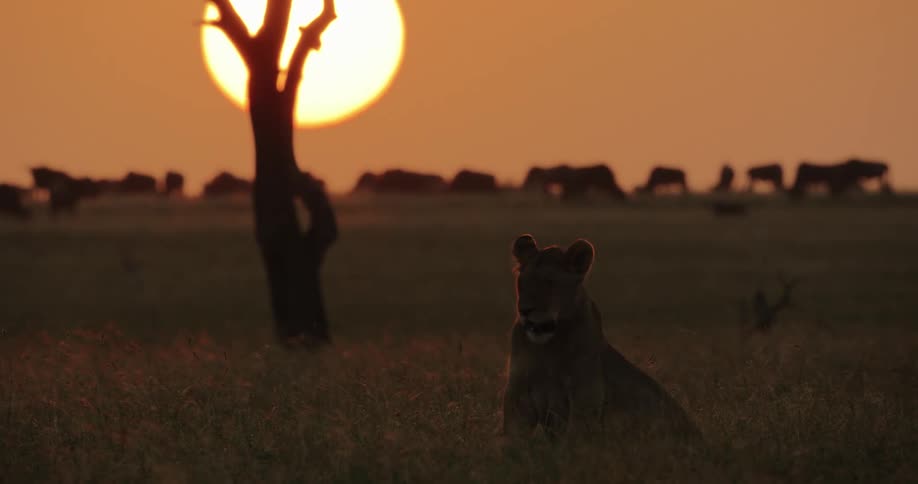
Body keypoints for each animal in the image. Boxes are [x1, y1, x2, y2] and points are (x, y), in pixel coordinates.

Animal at [500, 234, 699, 443]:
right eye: (522, 282)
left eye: (550, 282)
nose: (524, 310)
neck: (547, 347)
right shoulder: (518, 393)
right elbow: (513, 435)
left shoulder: (585, 394)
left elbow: (575, 435)